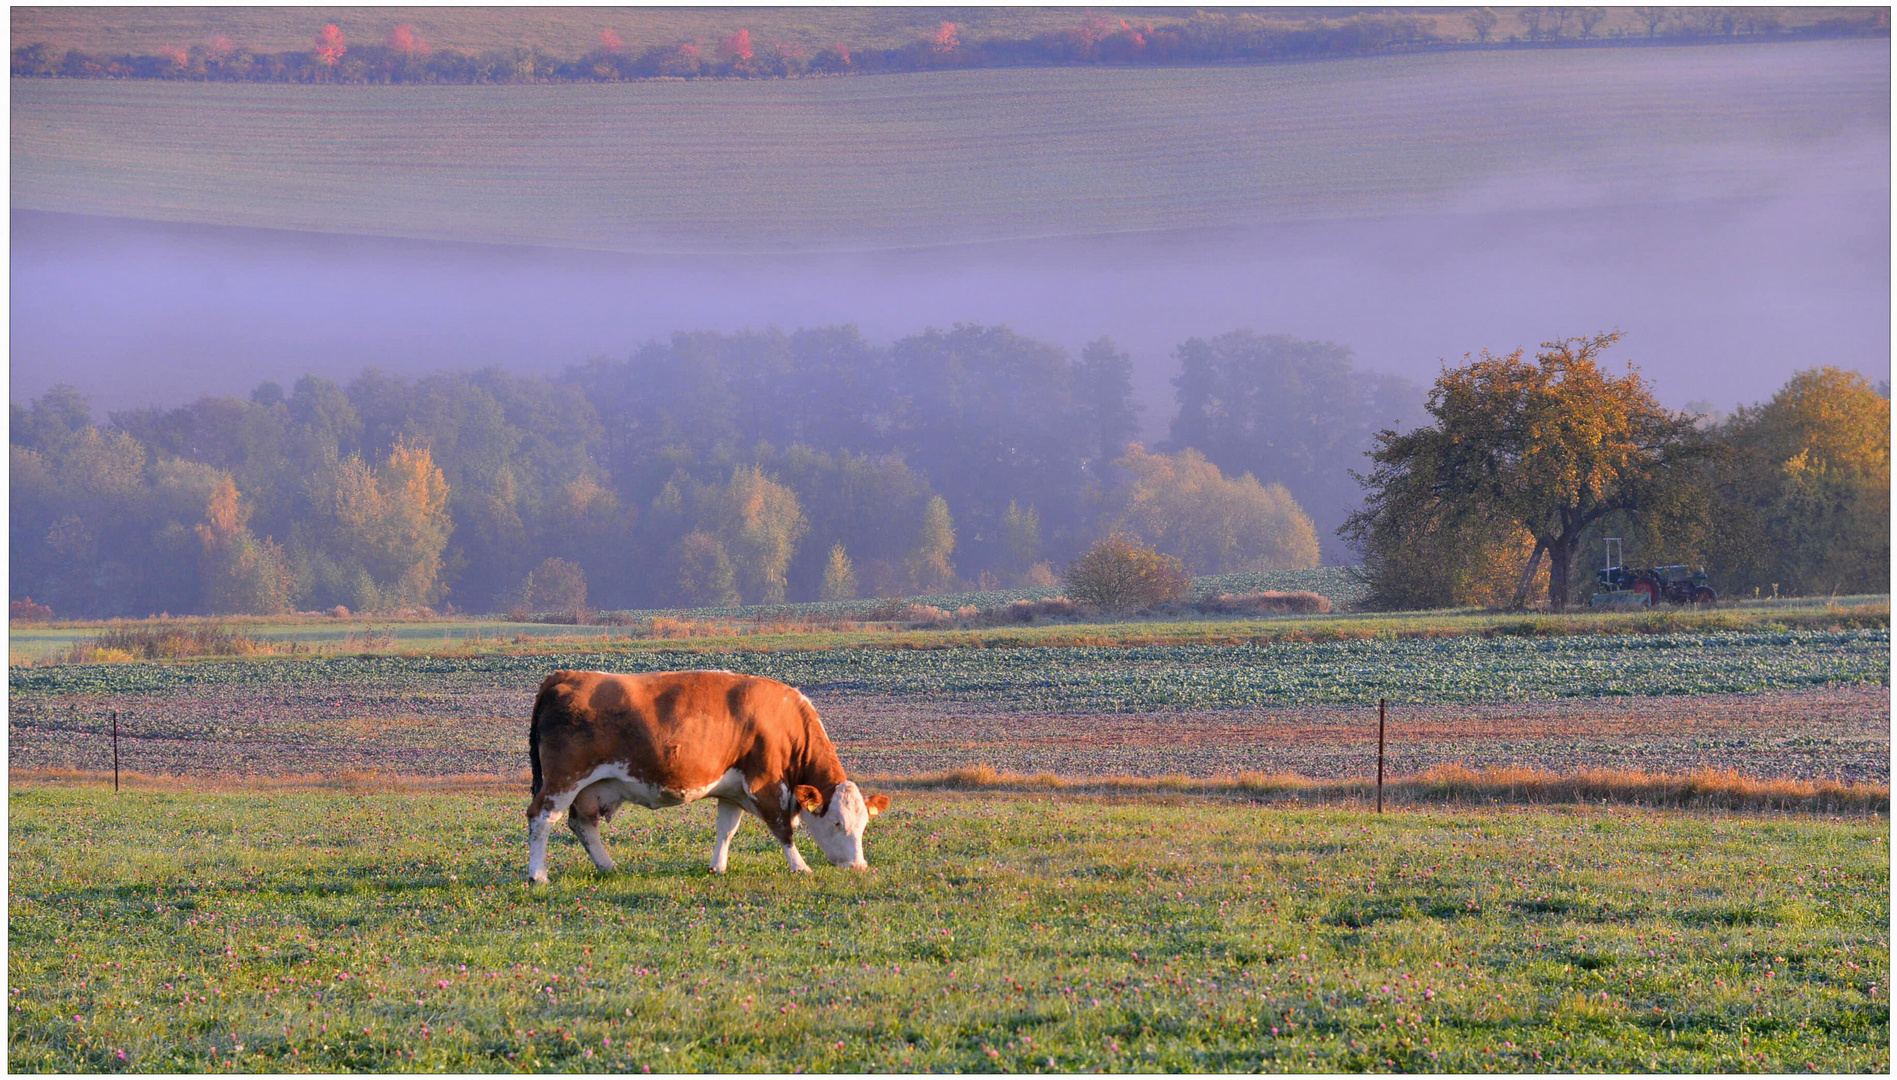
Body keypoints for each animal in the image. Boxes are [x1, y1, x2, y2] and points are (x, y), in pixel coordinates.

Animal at [527, 668, 887, 880]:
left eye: (864, 825)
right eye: (837, 823)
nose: (859, 865)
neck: (785, 721)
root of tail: (565, 674)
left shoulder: (733, 791)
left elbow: (726, 830)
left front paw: (718, 866)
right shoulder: (765, 785)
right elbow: (782, 829)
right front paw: (800, 866)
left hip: (590, 788)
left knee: (583, 824)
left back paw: (608, 865)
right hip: (564, 779)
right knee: (541, 819)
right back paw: (538, 875)